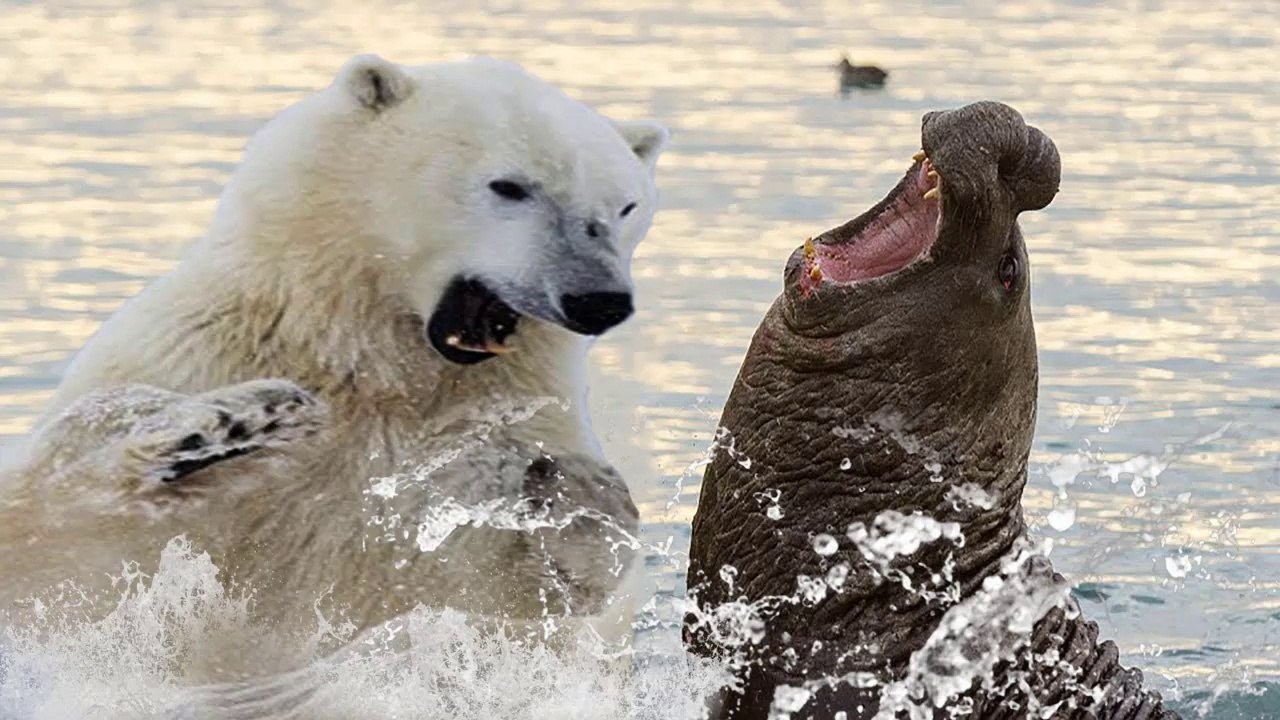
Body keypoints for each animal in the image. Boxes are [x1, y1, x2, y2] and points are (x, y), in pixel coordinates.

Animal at [0, 53, 669, 677]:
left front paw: (581, 497)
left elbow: (510, 601)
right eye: (510, 186)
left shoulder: (496, 430)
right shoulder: (196, 352)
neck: (367, 364)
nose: (599, 298)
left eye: (626, 205)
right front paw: (222, 427)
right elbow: (60, 544)